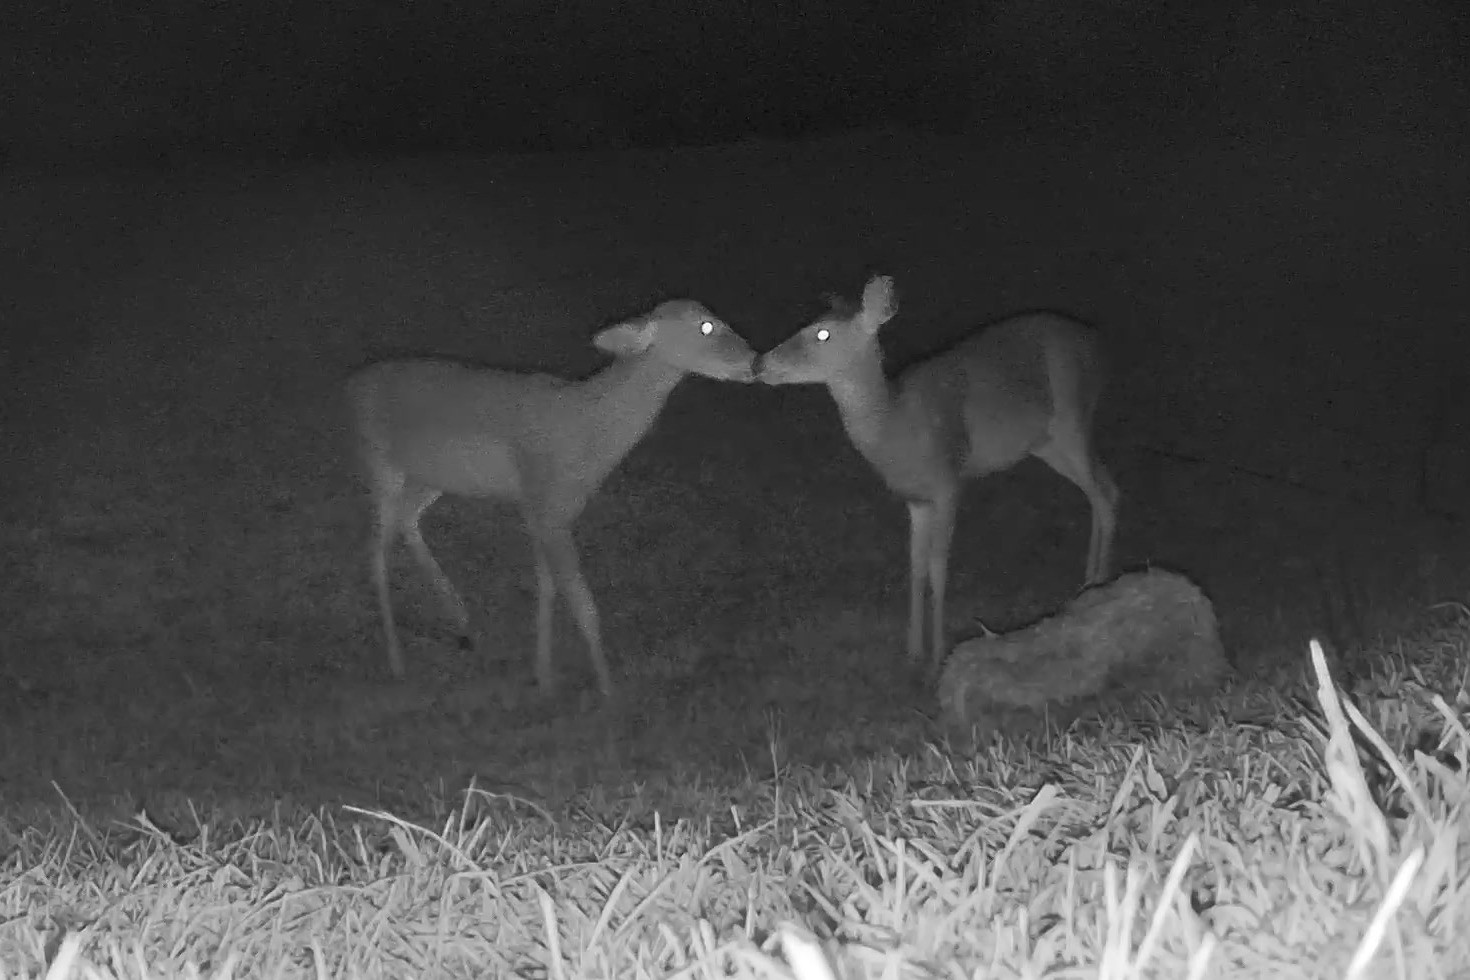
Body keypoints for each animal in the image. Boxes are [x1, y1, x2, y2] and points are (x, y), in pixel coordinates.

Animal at [346, 299, 757, 697]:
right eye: (706, 325)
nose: (754, 361)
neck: (588, 431)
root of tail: (351, 385)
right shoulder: (549, 507)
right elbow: (583, 604)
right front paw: (608, 692)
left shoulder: (542, 509)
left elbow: (548, 589)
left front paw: (543, 678)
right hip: (378, 461)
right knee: (375, 553)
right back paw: (397, 660)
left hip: (431, 477)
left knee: (406, 519)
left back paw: (458, 615)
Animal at [755, 274, 1119, 671]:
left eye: (822, 333)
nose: (760, 363)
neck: (896, 428)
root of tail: (1098, 342)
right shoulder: (916, 500)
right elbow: (915, 567)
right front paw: (913, 651)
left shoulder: (948, 482)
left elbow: (937, 568)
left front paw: (937, 657)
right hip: (1047, 445)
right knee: (1103, 488)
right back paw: (1087, 586)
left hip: (1073, 418)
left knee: (1105, 493)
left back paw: (1099, 582)